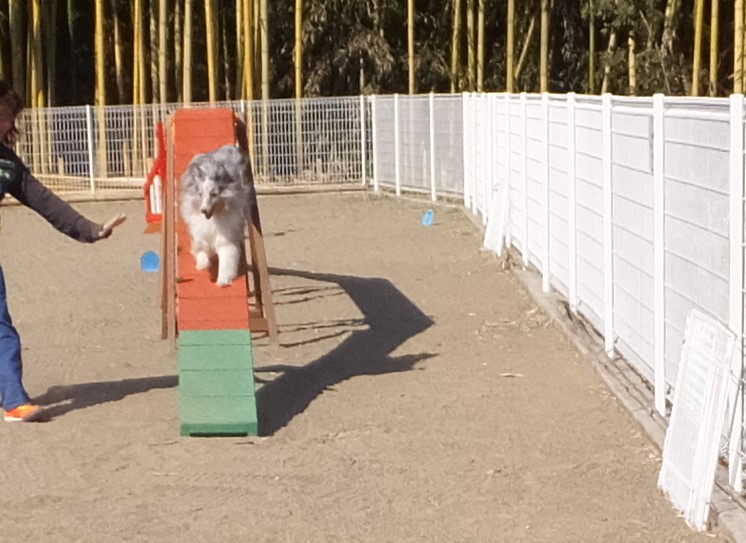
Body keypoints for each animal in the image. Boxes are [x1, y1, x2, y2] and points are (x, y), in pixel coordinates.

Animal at [179, 144, 253, 287]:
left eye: (214, 194)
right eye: (200, 194)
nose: (203, 210)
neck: (214, 217)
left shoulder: (226, 236)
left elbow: (226, 257)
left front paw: (223, 280)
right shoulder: (199, 231)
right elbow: (201, 249)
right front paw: (203, 264)